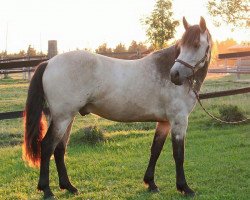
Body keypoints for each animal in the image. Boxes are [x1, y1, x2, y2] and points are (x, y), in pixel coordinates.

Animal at [22, 16, 212, 198]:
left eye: (196, 44)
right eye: (182, 45)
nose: (175, 75)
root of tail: (49, 63)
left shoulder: (164, 122)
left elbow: (155, 150)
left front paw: (151, 183)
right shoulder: (179, 121)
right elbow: (178, 154)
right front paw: (185, 188)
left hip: (65, 118)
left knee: (59, 149)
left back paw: (69, 187)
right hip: (62, 118)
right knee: (47, 146)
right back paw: (47, 190)